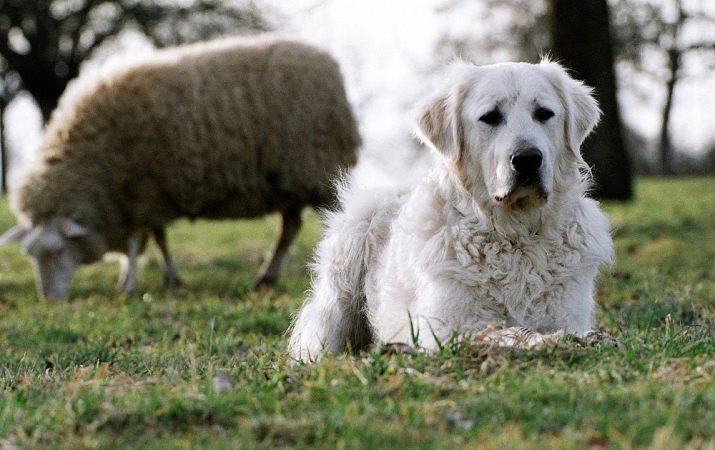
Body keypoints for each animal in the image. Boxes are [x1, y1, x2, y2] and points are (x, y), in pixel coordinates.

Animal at [0, 35, 360, 300]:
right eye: (31, 255)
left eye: (58, 250)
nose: (49, 299)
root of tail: (327, 62)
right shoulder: (145, 195)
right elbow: (157, 238)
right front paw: (163, 278)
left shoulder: (143, 190)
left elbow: (140, 240)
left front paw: (129, 284)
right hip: (287, 181)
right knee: (290, 228)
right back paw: (266, 278)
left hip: (313, 170)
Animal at [288, 60, 612, 362]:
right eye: (490, 117)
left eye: (544, 113)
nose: (528, 159)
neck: (515, 236)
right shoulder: (443, 325)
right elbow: (501, 331)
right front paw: (550, 340)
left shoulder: (567, 312)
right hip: (357, 230)